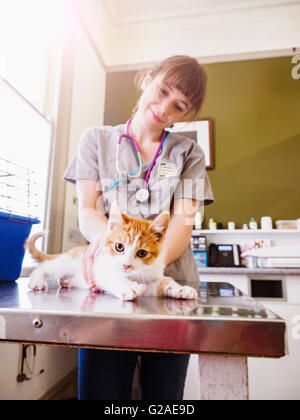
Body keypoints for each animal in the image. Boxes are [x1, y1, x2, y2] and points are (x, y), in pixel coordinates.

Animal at [26, 201, 199, 302]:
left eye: (142, 253)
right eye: (119, 247)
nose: (126, 266)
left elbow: (162, 283)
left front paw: (180, 289)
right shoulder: (98, 268)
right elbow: (111, 277)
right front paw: (128, 287)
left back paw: (65, 282)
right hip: (68, 262)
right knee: (46, 266)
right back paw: (37, 279)